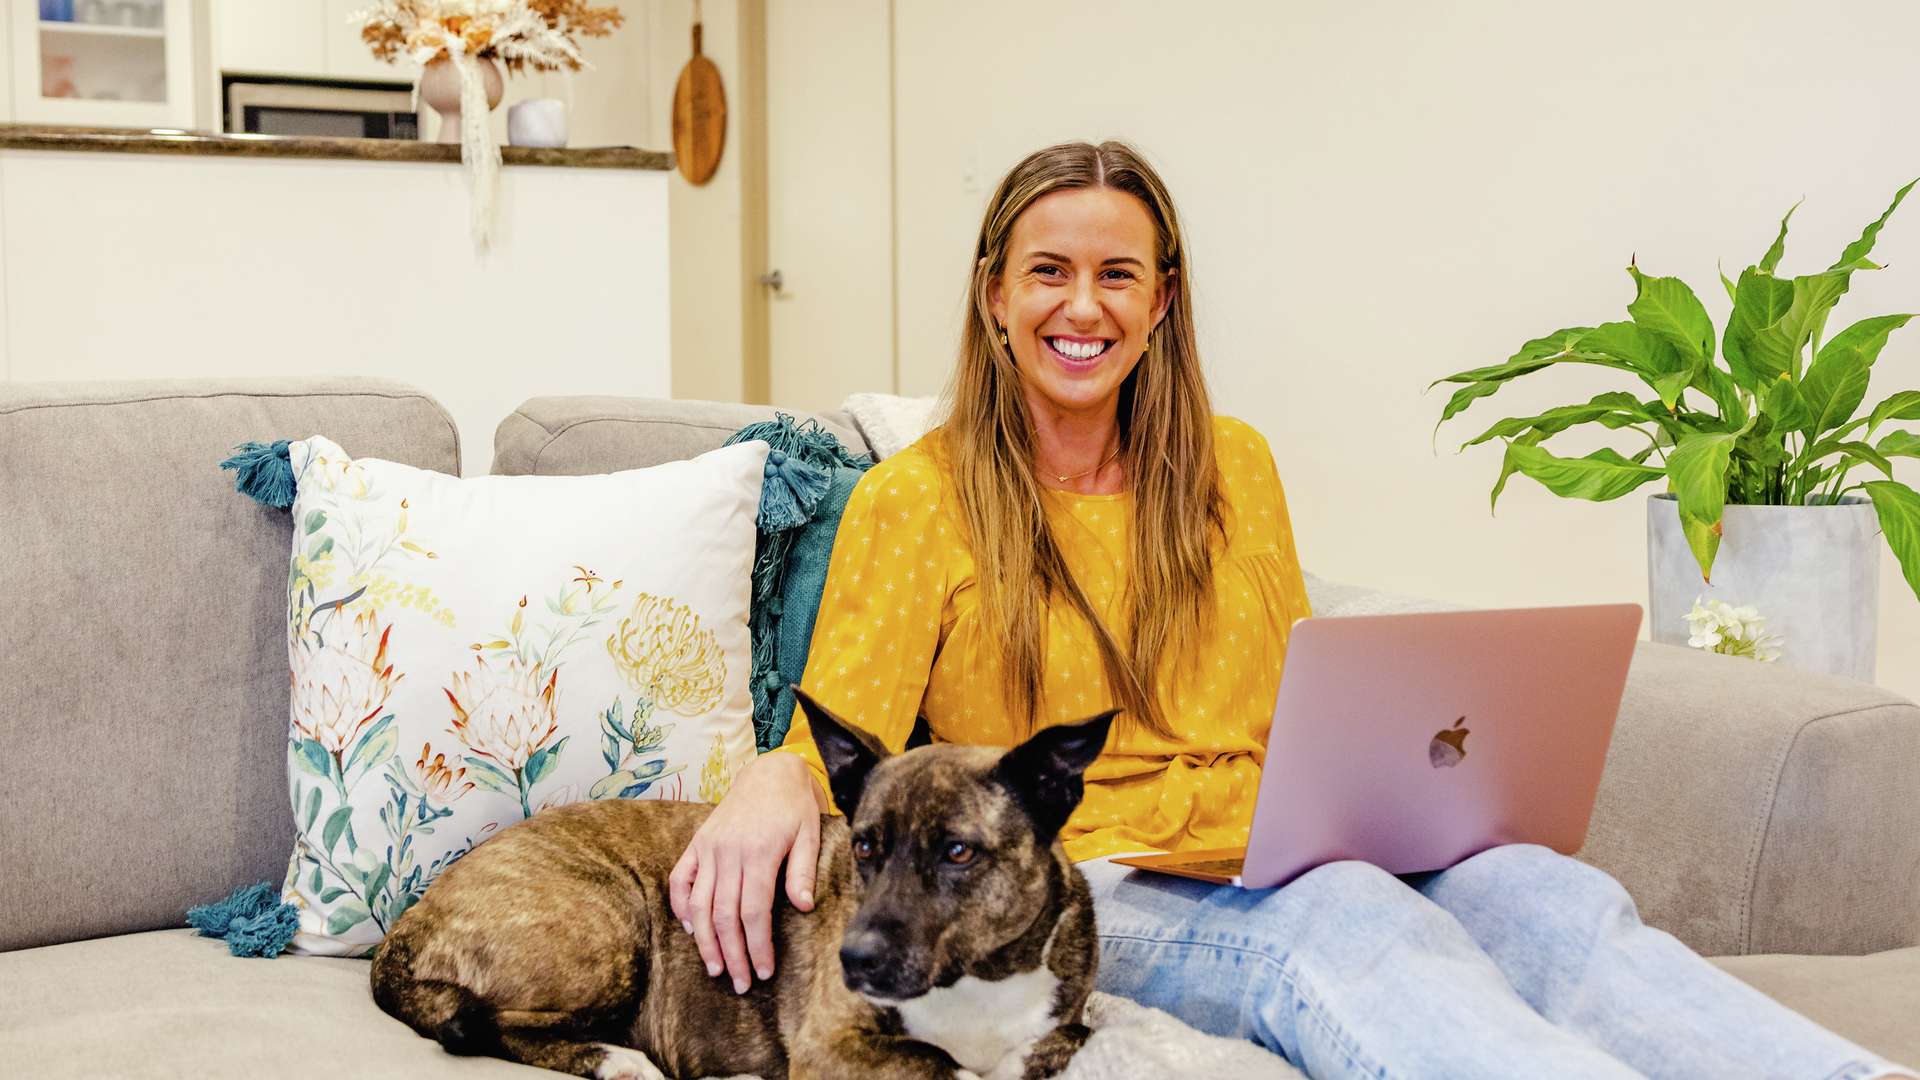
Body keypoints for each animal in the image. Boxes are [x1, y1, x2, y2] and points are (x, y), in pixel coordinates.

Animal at [368, 687, 1121, 1076]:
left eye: (960, 853)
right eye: (865, 846)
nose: (853, 959)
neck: (975, 979)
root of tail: (404, 931)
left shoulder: (1058, 1021)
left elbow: (1068, 1037)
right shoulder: (833, 1049)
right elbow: (941, 1064)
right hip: (611, 934)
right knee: (485, 1026)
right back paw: (618, 1060)